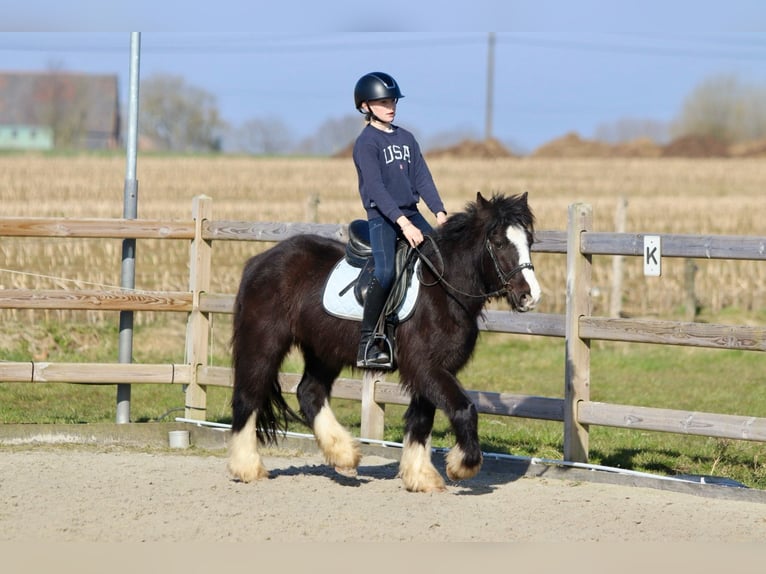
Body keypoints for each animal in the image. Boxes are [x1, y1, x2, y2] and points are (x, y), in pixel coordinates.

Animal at [228, 191, 540, 492]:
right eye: (498, 242)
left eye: (529, 241)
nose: (530, 296)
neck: (442, 290)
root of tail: (259, 261)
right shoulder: (425, 367)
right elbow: (464, 409)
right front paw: (462, 465)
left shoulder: (432, 370)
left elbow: (421, 420)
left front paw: (420, 477)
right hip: (263, 342)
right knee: (248, 395)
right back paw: (248, 467)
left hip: (323, 350)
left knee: (309, 393)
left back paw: (344, 455)